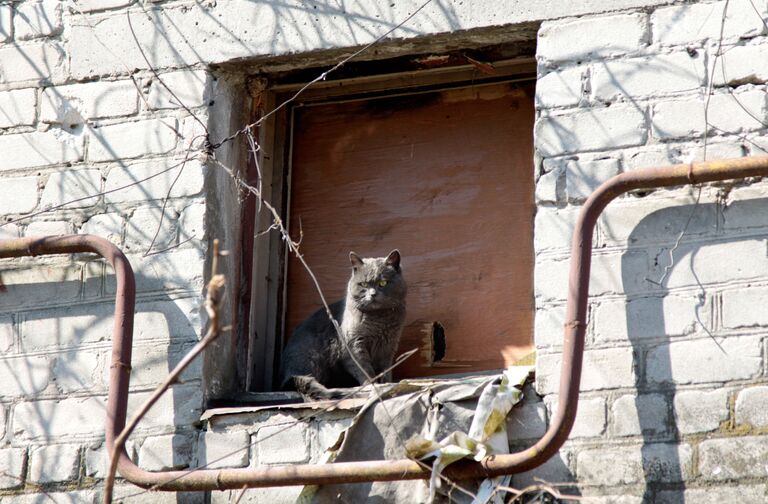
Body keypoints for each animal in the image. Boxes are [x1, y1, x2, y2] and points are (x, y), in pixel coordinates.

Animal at [278, 250, 408, 400]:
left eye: (383, 282)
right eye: (363, 284)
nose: (373, 294)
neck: (378, 320)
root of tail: (287, 377)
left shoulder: (388, 346)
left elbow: (386, 369)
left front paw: (386, 384)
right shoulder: (353, 346)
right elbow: (364, 369)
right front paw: (372, 386)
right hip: (312, 358)